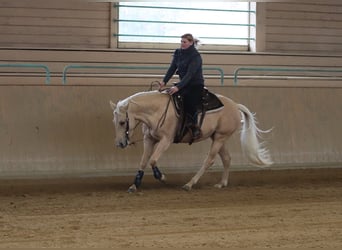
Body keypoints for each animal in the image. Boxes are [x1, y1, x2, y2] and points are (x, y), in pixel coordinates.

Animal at [110, 90, 272, 191]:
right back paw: (221, 183)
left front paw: (161, 177)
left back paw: (189, 184)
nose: (120, 143)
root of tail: (234, 105)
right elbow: (143, 161)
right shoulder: (149, 140)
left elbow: (153, 160)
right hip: (219, 137)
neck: (157, 111)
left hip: (220, 138)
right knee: (226, 158)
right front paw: (134, 185)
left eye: (122, 122)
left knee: (209, 160)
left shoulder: (166, 140)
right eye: (114, 121)